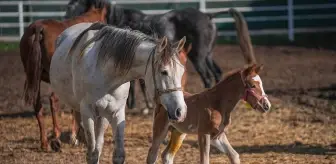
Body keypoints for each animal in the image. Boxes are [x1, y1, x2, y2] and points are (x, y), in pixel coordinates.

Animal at [18, 4, 107, 151]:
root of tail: (39, 28)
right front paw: (76, 136)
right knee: (53, 100)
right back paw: (56, 135)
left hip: (34, 79)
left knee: (38, 106)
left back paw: (45, 143)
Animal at [50, 22, 188, 163]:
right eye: (164, 72)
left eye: (182, 71)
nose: (180, 111)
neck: (107, 74)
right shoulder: (87, 112)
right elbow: (91, 154)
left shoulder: (117, 112)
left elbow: (118, 155)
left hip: (103, 116)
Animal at [64, 0, 252, 110]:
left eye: (80, 2)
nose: (67, 14)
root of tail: (208, 16)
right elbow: (139, 83)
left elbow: (135, 85)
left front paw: (137, 105)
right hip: (207, 55)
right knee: (217, 73)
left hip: (198, 56)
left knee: (206, 77)